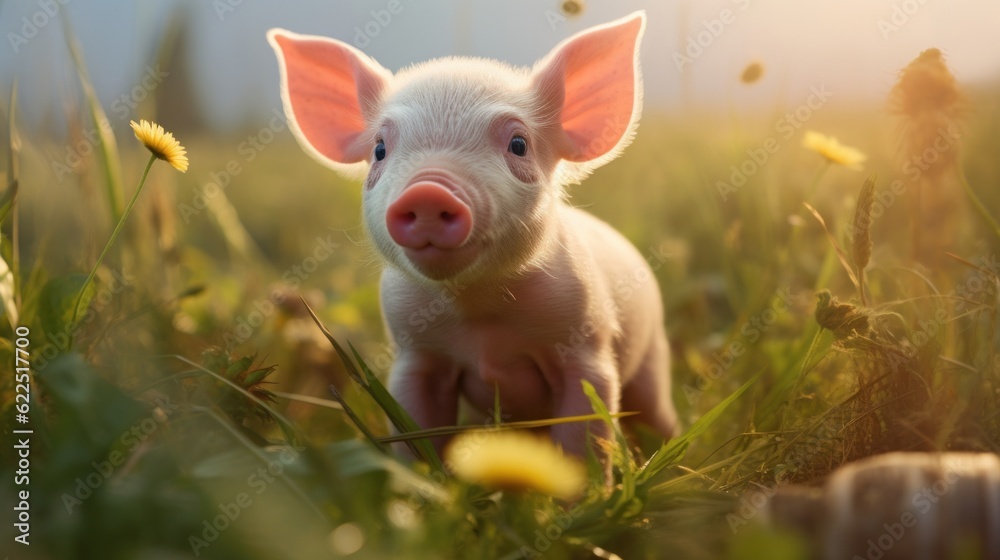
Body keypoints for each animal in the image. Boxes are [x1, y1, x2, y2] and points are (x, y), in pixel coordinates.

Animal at [267, 11, 677, 463]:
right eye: (379, 149)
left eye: (519, 144)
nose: (428, 191)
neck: (480, 312)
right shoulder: (414, 355)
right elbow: (416, 435)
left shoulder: (587, 347)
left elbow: (582, 438)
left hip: (653, 358)